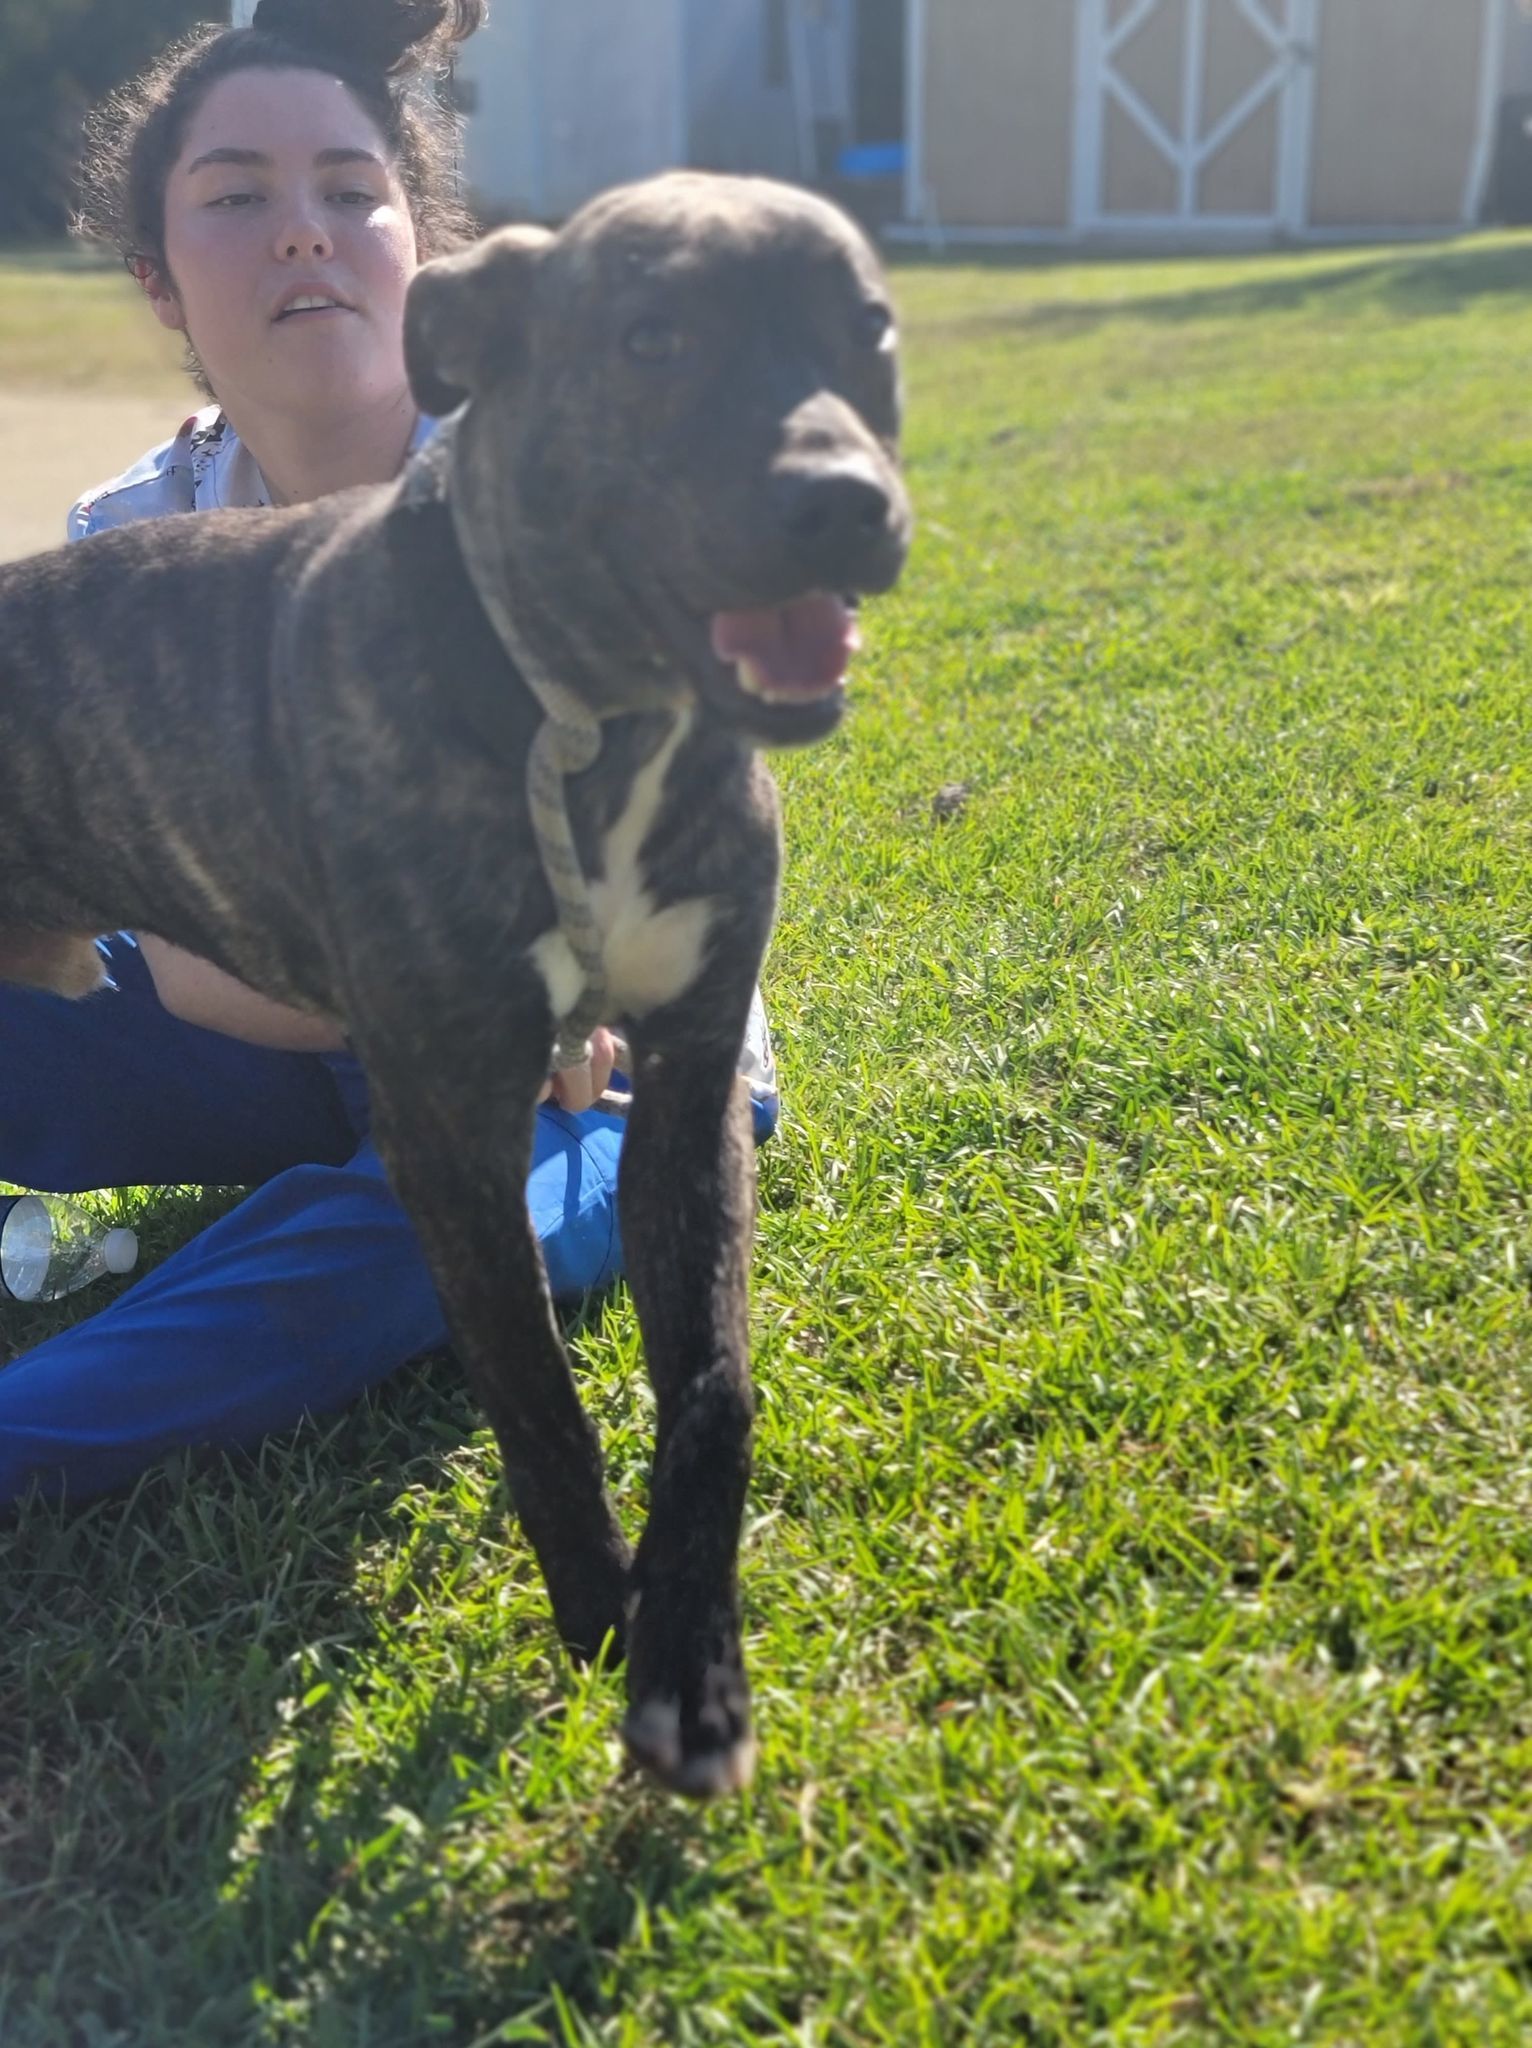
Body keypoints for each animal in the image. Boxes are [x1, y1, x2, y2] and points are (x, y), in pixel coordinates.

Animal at [0, 184, 909, 1802]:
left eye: (869, 330)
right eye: (651, 339)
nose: (847, 504)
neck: (596, 720)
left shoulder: (682, 1094)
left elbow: (713, 1390)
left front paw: (693, 1666)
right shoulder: (451, 1139)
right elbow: (539, 1397)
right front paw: (599, 1610)